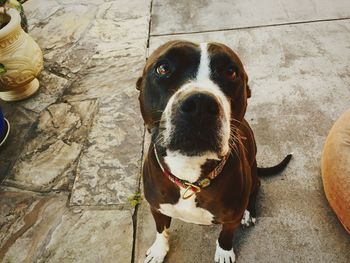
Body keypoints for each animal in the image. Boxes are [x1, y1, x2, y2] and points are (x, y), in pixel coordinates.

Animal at [135, 40, 292, 263]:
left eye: (231, 72)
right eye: (163, 68)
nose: (200, 104)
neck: (189, 176)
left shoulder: (232, 216)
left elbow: (226, 235)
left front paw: (224, 252)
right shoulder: (156, 206)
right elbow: (161, 229)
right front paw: (158, 250)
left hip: (252, 176)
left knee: (256, 188)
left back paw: (249, 213)